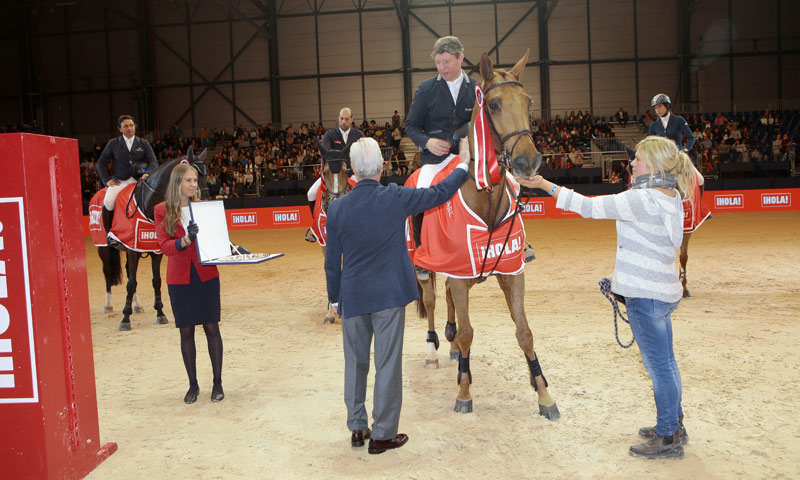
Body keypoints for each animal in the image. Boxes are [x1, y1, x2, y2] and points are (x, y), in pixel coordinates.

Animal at [96, 148, 208, 332]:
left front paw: (160, 314)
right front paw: (125, 319)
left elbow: (156, 281)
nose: (205, 199)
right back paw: (108, 305)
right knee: (107, 272)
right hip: (104, 248)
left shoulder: (156, 251)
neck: (147, 204)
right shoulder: (133, 251)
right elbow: (131, 283)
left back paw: (137, 305)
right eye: (193, 177)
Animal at [416, 50, 560, 420]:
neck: (486, 197)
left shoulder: (511, 273)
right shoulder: (457, 275)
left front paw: (543, 393)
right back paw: (434, 350)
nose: (528, 161)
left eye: (528, 101)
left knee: (448, 302)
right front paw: (464, 392)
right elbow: (468, 332)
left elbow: (524, 332)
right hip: (422, 268)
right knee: (432, 300)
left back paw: (451, 346)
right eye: (493, 105)